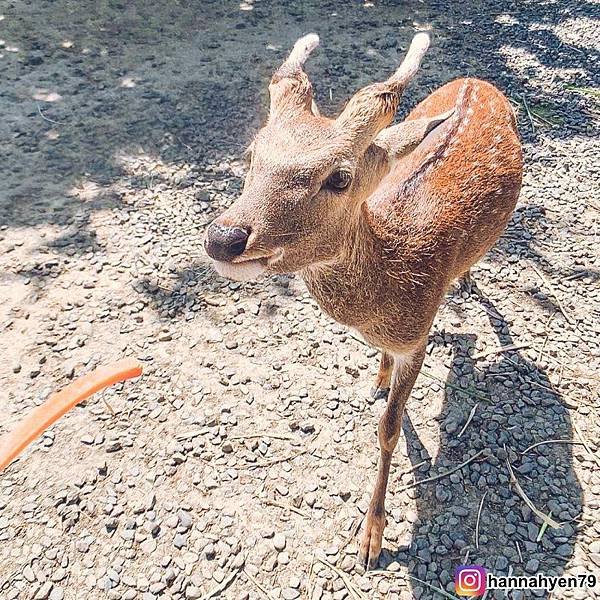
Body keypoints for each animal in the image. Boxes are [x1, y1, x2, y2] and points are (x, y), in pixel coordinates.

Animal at [204, 31, 524, 568]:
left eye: (339, 176)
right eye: (252, 154)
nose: (224, 238)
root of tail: (477, 82)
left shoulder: (417, 336)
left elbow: (389, 428)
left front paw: (371, 538)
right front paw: (377, 377)